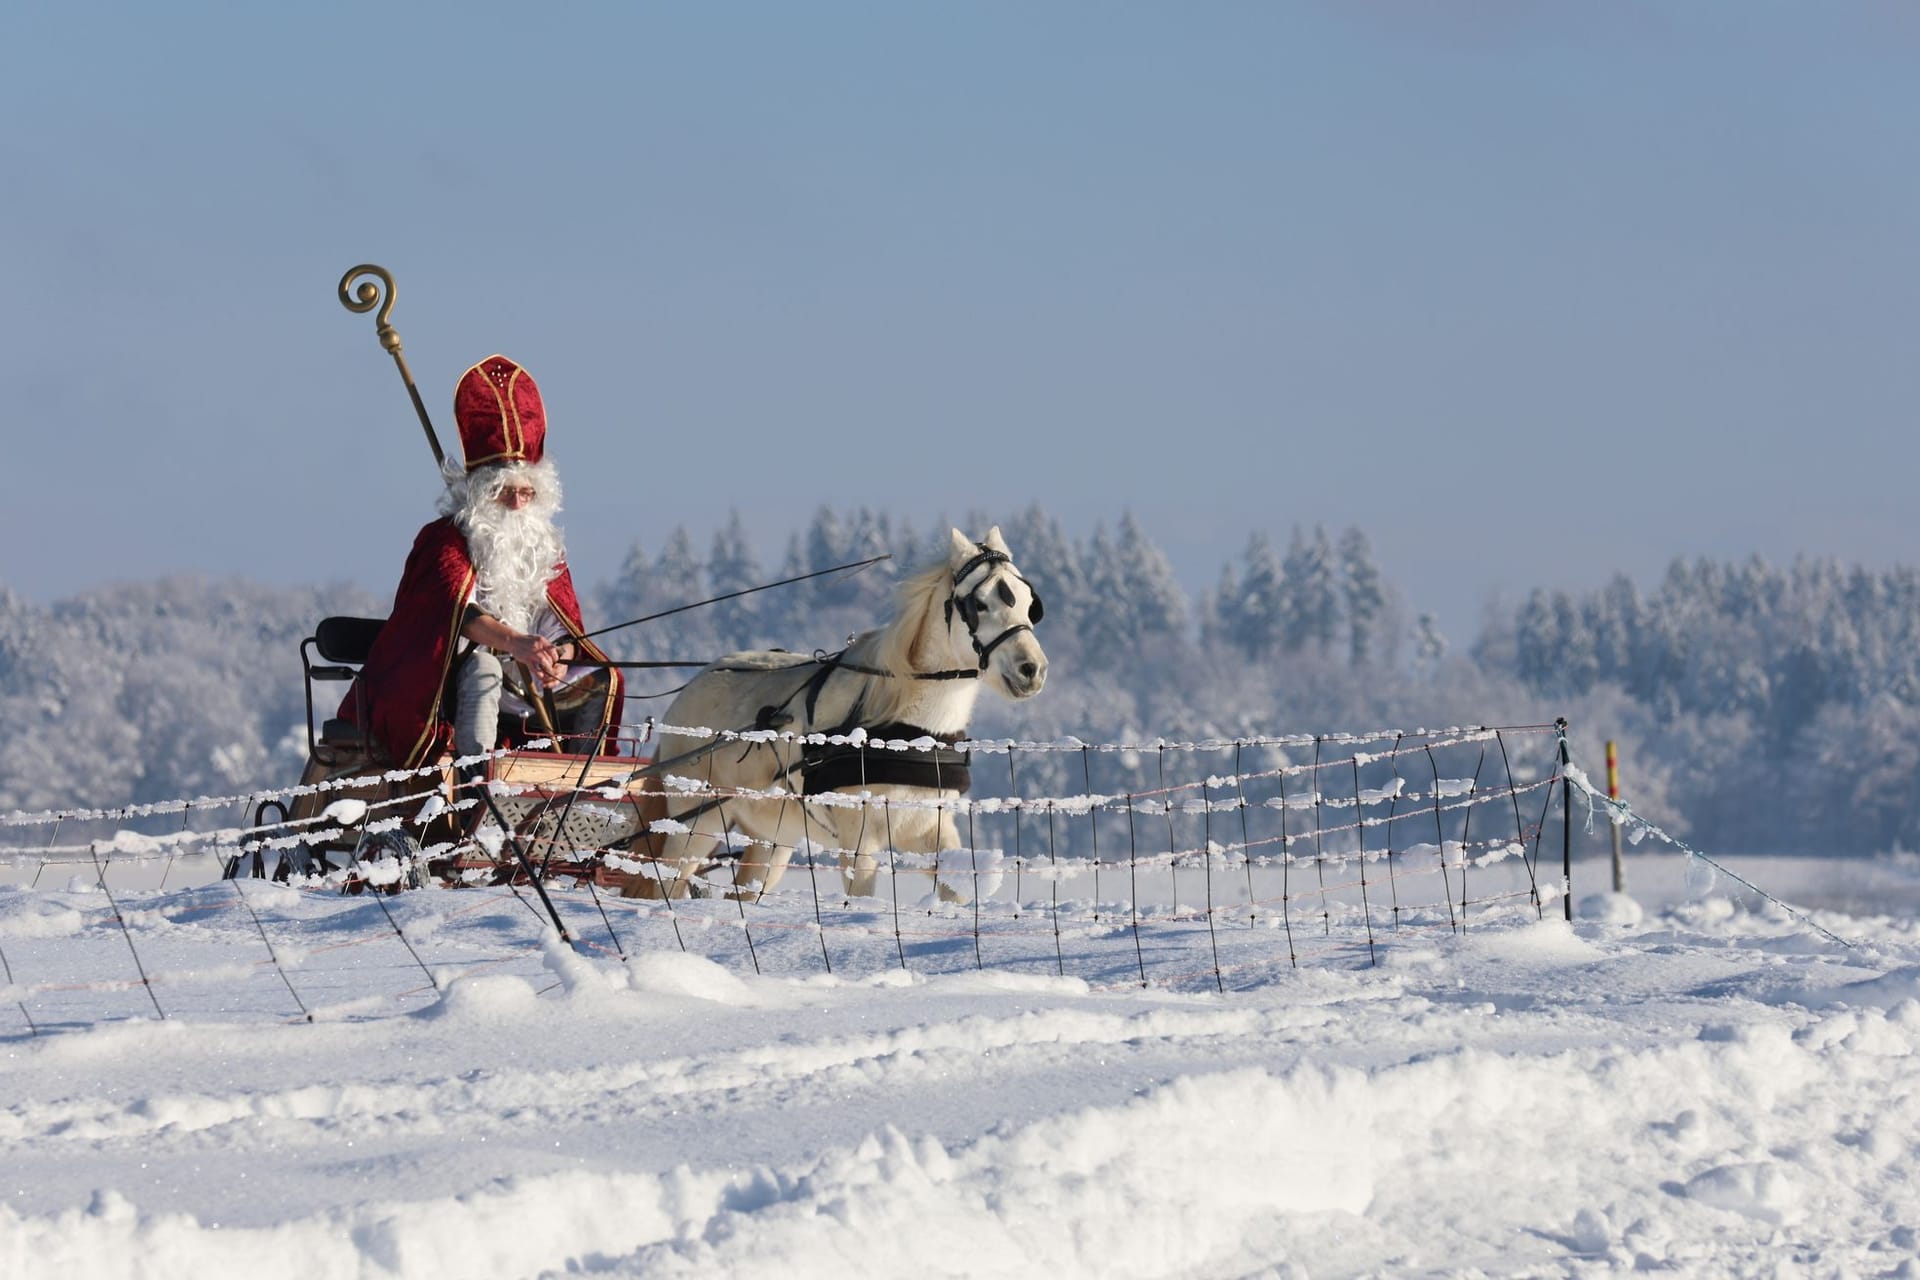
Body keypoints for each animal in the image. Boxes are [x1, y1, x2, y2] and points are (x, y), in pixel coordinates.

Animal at [629, 529, 1052, 901]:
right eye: (978, 604)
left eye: (1027, 601)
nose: (1032, 669)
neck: (905, 727)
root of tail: (693, 686)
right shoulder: (859, 836)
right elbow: (862, 895)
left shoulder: (929, 826)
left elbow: (957, 892)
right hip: (696, 822)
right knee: (666, 885)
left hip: (772, 837)